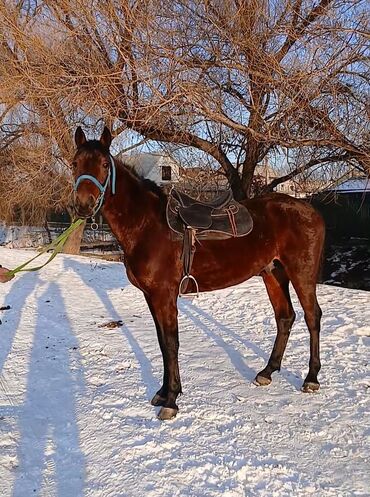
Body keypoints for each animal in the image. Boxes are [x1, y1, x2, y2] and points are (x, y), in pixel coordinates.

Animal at [71, 127, 324, 418]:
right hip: (273, 274)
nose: (84, 205)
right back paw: (267, 372)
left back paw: (311, 378)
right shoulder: (151, 296)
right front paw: (163, 393)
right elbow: (162, 343)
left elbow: (171, 344)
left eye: (104, 164)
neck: (146, 224)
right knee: (285, 317)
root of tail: (310, 210)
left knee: (312, 317)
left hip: (301, 273)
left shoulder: (165, 295)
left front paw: (171, 400)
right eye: (75, 163)